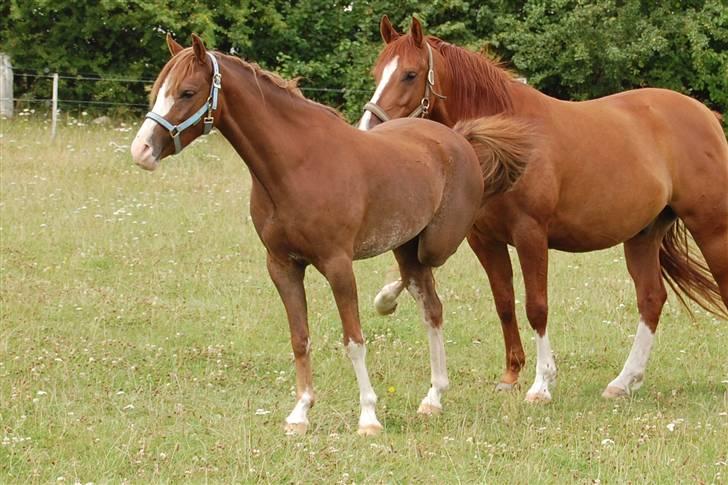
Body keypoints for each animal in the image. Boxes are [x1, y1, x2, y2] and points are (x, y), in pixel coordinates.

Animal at [128, 35, 532, 434]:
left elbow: (353, 340)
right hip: (405, 243)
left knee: (426, 286)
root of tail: (459, 138)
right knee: (427, 300)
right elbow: (300, 339)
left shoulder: (338, 265)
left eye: (187, 92)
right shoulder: (282, 266)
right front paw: (300, 413)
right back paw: (431, 393)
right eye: (158, 90)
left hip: (436, 242)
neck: (296, 165)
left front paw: (368, 417)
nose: (141, 151)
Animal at [362, 16, 728, 400]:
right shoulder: (483, 240)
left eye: (410, 74)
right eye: (377, 73)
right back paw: (623, 382)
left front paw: (541, 383)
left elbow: (536, 306)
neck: (509, 143)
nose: (369, 129)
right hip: (643, 235)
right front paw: (511, 376)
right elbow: (503, 302)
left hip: (711, 227)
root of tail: (706, 115)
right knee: (651, 299)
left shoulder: (531, 234)